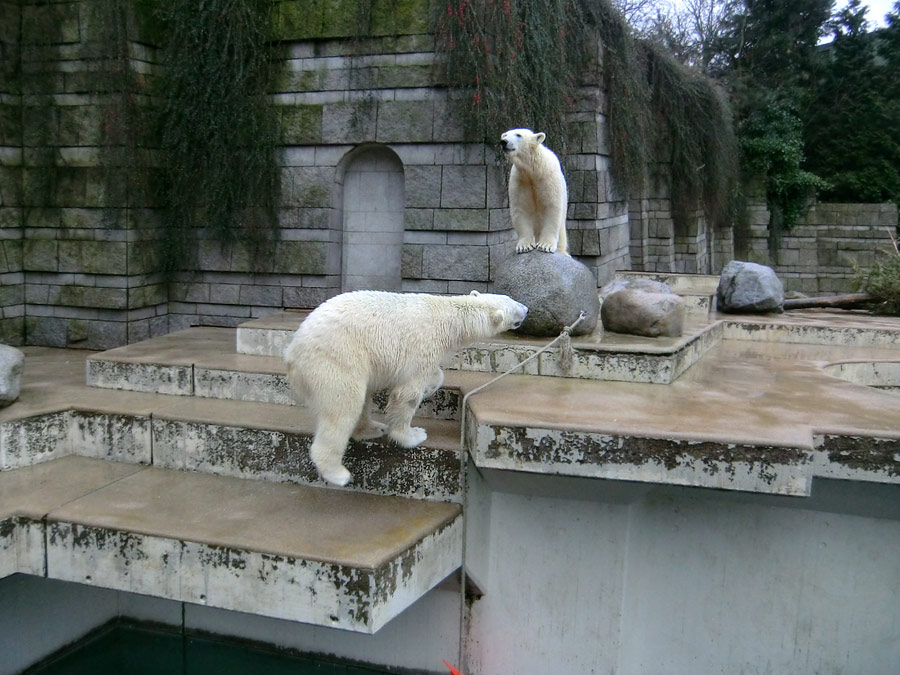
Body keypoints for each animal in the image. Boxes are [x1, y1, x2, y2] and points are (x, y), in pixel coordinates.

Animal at [284, 290, 532, 486]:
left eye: (511, 297)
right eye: (514, 305)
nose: (527, 308)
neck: (449, 317)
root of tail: (292, 353)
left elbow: (431, 373)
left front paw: (432, 386)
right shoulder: (424, 343)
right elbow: (407, 394)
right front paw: (413, 435)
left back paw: (373, 428)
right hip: (336, 358)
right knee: (343, 406)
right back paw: (337, 473)